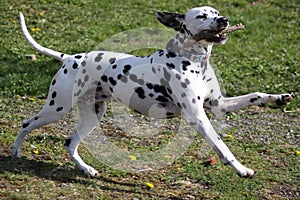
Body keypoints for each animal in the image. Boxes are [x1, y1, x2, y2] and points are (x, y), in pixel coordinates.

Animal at [12, 6, 292, 178]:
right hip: (56, 108)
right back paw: (15, 151)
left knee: (70, 143)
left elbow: (255, 95)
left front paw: (279, 98)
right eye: (202, 16)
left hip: (92, 116)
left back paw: (87, 169)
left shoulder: (218, 105)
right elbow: (222, 146)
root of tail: (70, 57)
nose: (224, 20)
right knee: (27, 123)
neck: (192, 61)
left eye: (217, 13)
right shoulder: (198, 117)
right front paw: (241, 169)